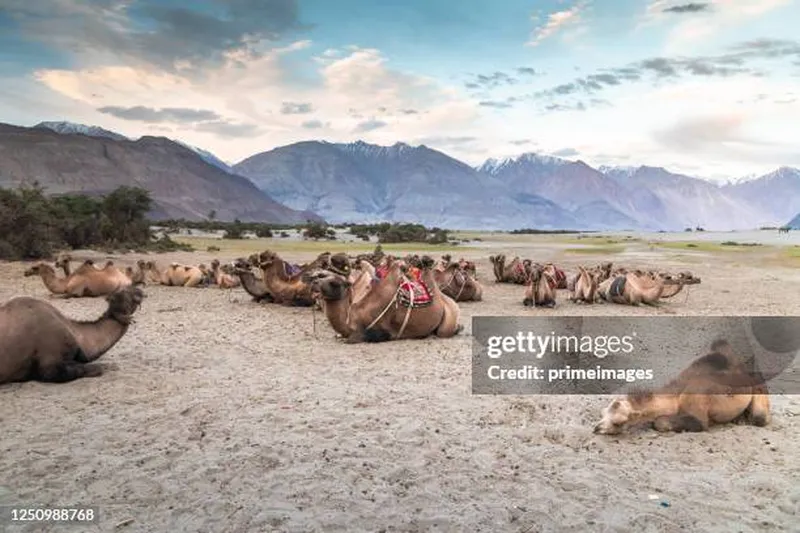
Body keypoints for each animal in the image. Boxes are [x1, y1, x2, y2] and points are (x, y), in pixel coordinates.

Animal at [304, 256, 462, 342]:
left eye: (335, 283)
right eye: (321, 275)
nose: (314, 283)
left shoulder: (381, 332)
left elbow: (354, 338)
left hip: (449, 319)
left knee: (444, 331)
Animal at [592, 338, 768, 434]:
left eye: (618, 423)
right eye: (602, 413)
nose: (597, 428)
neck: (675, 399)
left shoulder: (697, 407)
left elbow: (661, 422)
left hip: (758, 388)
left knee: (760, 417)